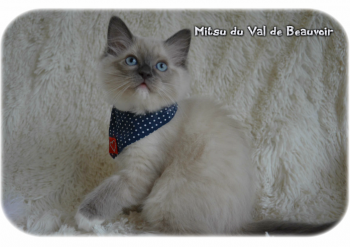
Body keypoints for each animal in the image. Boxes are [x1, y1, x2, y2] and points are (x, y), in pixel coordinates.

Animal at [75, 16, 338, 234]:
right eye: (131, 61)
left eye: (161, 66)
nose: (145, 74)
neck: (135, 118)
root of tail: (239, 223)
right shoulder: (129, 166)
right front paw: (125, 209)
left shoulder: (139, 172)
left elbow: (109, 192)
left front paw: (84, 218)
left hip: (168, 195)